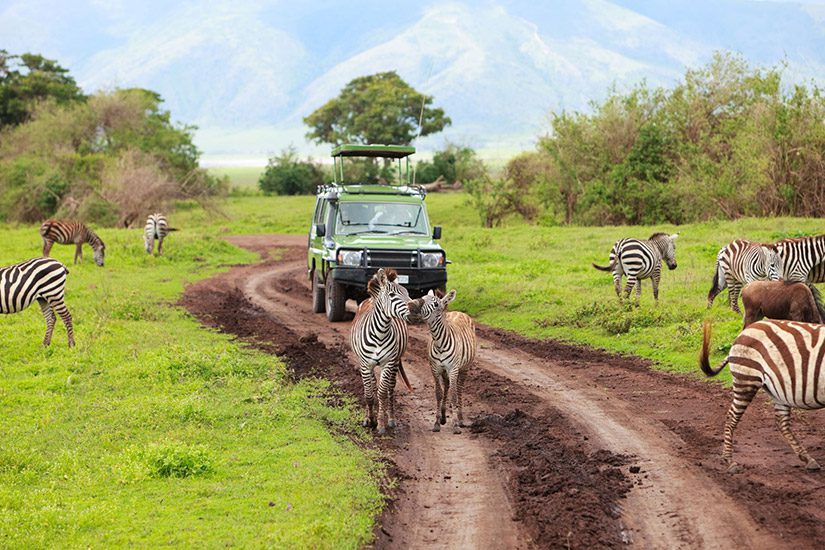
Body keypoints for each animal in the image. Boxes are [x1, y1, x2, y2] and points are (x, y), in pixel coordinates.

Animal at [348, 268, 412, 436]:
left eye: (407, 292)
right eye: (392, 295)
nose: (415, 308)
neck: (380, 333)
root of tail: (370, 299)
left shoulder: (387, 363)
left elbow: (382, 393)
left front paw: (381, 424)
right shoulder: (365, 364)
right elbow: (369, 393)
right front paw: (370, 420)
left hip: (395, 362)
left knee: (390, 388)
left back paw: (391, 419)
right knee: (371, 386)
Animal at [406, 288, 476, 436]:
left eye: (436, 304)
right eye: (422, 297)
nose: (411, 305)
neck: (439, 342)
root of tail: (459, 312)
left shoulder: (453, 368)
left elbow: (454, 395)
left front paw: (455, 425)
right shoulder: (435, 369)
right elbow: (438, 393)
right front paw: (437, 422)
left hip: (464, 368)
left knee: (459, 389)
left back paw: (460, 419)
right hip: (445, 372)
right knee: (447, 387)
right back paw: (444, 416)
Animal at [700, 320, 824, 474]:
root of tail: (745, 331)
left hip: (778, 392)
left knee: (781, 422)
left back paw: (808, 459)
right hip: (746, 379)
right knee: (731, 417)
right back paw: (729, 461)